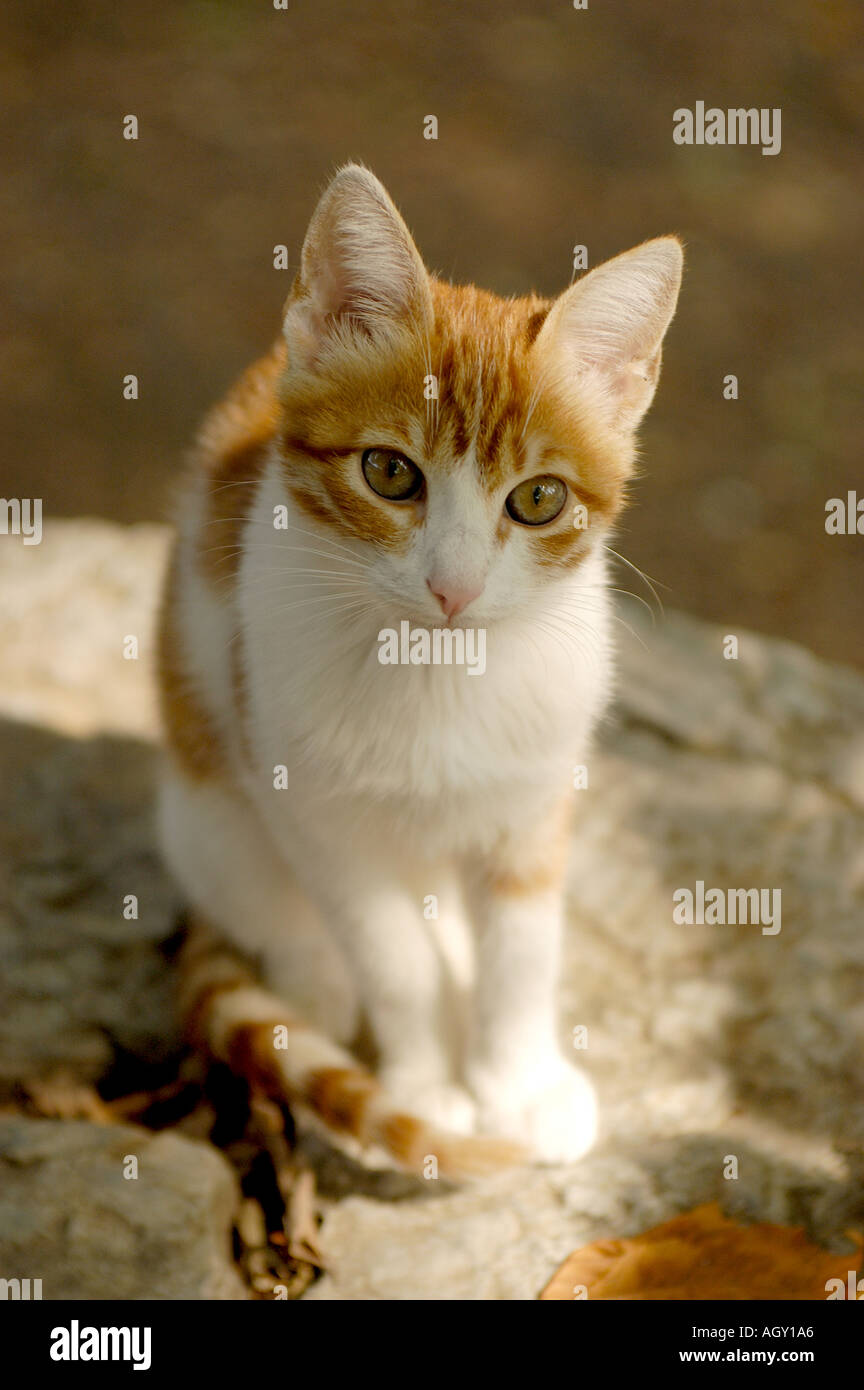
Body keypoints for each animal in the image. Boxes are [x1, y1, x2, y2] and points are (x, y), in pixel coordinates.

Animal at [155, 168, 683, 1178]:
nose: (454, 586)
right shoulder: (315, 810)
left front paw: (518, 1081)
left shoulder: (537, 792)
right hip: (205, 799)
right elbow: (390, 955)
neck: (438, 671)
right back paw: (314, 980)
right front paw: (426, 1089)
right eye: (391, 473)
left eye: (540, 498)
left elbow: (524, 949)